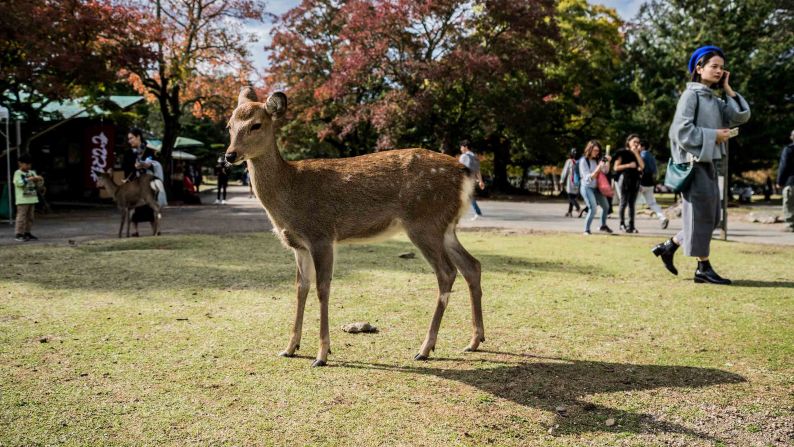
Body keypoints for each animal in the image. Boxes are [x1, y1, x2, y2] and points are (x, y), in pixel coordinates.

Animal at [223, 87, 482, 368]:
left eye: (256, 125)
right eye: (229, 125)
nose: (229, 155)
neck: (289, 192)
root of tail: (465, 174)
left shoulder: (322, 235)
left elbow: (322, 288)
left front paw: (322, 355)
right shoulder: (298, 245)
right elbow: (300, 289)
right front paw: (290, 348)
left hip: (424, 221)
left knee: (447, 272)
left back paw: (425, 348)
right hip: (446, 227)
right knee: (472, 265)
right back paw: (474, 341)